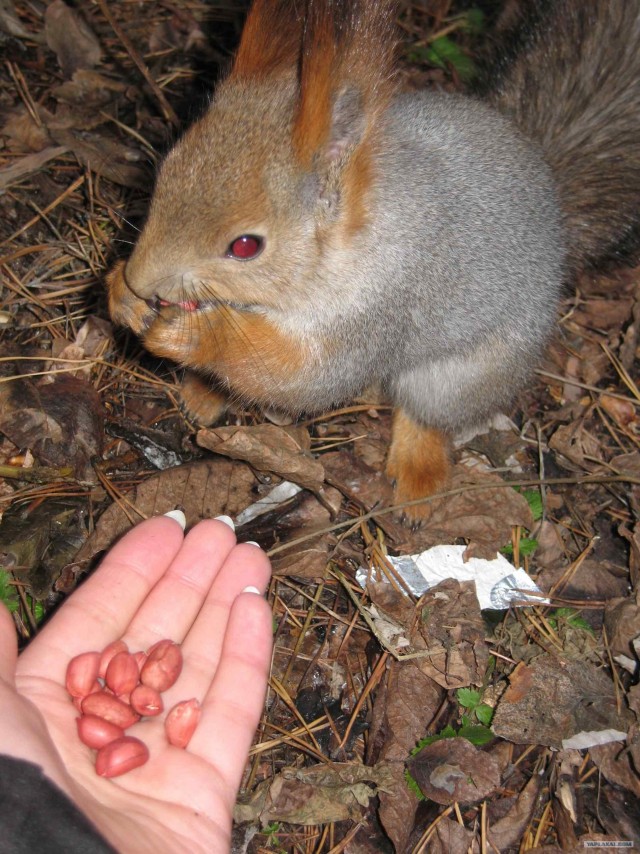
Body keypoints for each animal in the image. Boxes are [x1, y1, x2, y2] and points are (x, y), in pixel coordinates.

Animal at [106, 0, 640, 520]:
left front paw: (191, 334)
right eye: (167, 168)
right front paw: (120, 295)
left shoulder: (377, 309)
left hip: (462, 375)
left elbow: (301, 375)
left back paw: (417, 470)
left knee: (429, 413)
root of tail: (553, 202)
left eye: (245, 246)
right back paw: (202, 394)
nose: (140, 279)